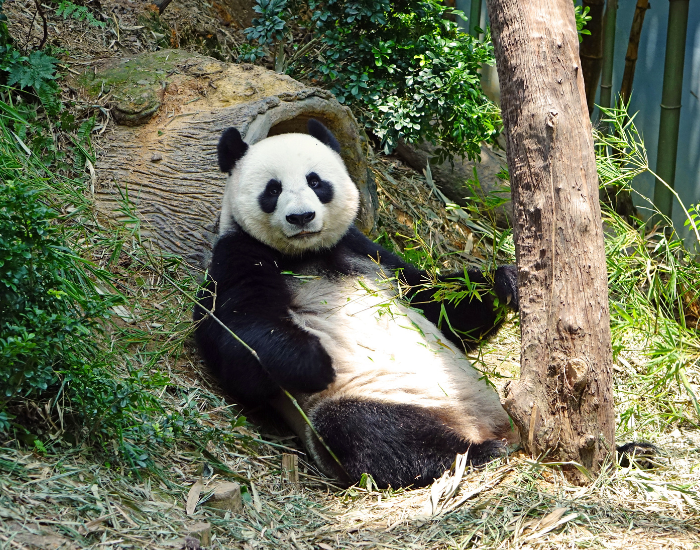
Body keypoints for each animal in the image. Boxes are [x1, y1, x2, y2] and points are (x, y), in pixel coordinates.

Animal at [194, 119, 522, 488]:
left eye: (315, 181)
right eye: (273, 189)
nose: (301, 217)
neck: (306, 254)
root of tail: (476, 424)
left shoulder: (367, 252)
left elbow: (437, 304)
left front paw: (506, 282)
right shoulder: (238, 254)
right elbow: (236, 338)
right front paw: (314, 363)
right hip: (377, 395)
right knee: (370, 431)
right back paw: (476, 452)